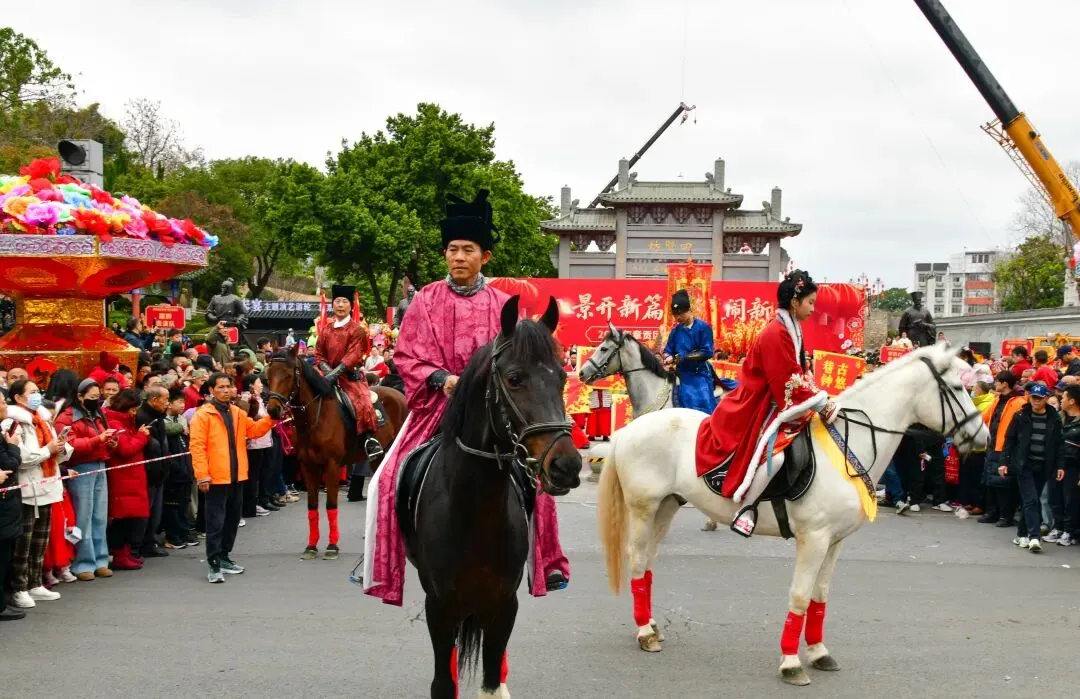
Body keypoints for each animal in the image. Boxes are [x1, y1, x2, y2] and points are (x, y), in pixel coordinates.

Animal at [264, 346, 404, 560]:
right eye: (268, 375)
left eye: (288, 375)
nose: (272, 409)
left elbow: (331, 505)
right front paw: (311, 546)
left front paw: (332, 546)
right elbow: (312, 506)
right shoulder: (308, 467)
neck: (314, 419)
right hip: (377, 458)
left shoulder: (331, 466)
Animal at [403, 295, 582, 698]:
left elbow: (491, 681)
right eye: (515, 379)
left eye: (562, 377)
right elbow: (443, 682)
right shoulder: (440, 606)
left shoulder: (503, 604)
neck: (475, 514)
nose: (567, 465)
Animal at [596, 344, 989, 686]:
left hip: (667, 506)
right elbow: (800, 596)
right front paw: (790, 662)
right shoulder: (813, 538)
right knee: (636, 560)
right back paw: (644, 632)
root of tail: (629, 429)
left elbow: (820, 595)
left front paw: (818, 651)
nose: (983, 437)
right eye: (957, 387)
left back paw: (651, 625)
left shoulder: (835, 541)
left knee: (648, 563)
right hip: (644, 507)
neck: (850, 445)